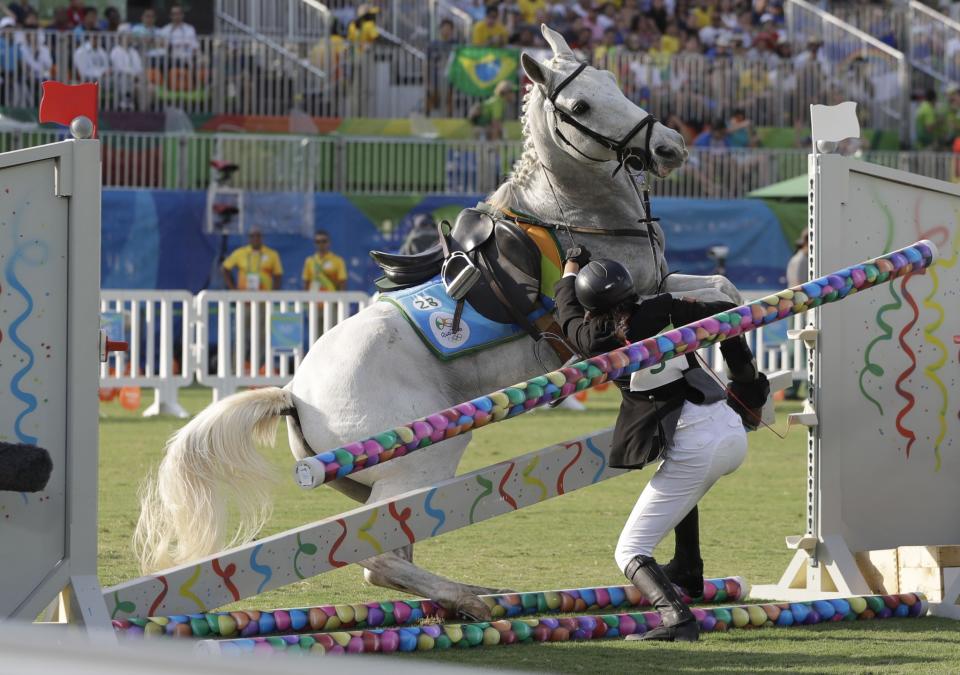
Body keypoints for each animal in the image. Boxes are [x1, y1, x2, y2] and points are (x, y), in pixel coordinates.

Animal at [133, 26, 744, 624]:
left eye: (613, 82)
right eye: (581, 105)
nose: (670, 146)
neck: (575, 215)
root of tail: (294, 394)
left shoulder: (660, 285)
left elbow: (721, 287)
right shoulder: (624, 307)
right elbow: (711, 296)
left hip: (385, 480)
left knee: (389, 551)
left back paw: (461, 599)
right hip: (422, 459)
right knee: (378, 561)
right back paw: (472, 599)